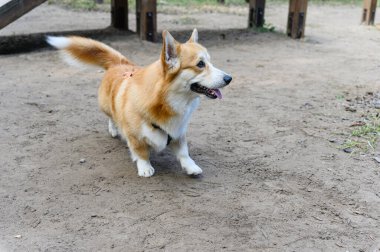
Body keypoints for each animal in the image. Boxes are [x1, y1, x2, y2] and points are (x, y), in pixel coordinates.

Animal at [47, 29, 232, 177]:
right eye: (200, 64)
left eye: (210, 62)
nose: (229, 78)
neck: (168, 101)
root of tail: (119, 63)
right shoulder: (134, 136)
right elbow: (141, 153)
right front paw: (145, 168)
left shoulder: (179, 132)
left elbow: (183, 152)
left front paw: (191, 167)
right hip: (105, 106)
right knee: (111, 116)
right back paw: (113, 129)